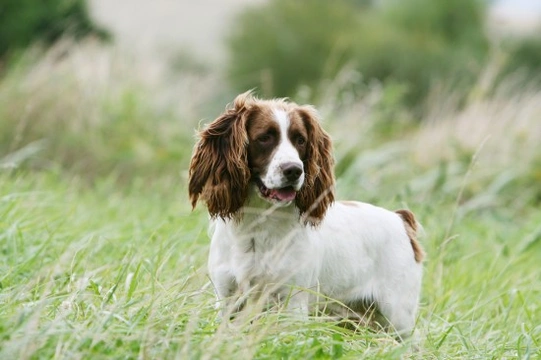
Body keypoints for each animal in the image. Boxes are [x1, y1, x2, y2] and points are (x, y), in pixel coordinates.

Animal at [188, 90, 424, 338]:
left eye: (300, 140)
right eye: (265, 137)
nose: (294, 170)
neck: (259, 224)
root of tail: (400, 220)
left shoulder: (293, 301)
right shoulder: (227, 299)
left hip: (398, 316)